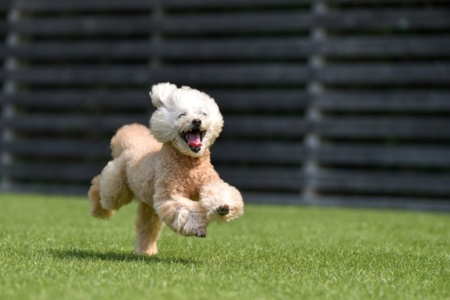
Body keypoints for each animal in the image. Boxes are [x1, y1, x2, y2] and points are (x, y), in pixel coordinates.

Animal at [87, 82, 243, 255]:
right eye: (182, 115)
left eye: (203, 113)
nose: (196, 121)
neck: (190, 164)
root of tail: (129, 143)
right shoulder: (170, 194)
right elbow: (185, 209)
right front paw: (198, 228)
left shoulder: (208, 181)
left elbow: (219, 191)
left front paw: (223, 207)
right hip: (117, 187)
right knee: (102, 189)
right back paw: (97, 208)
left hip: (148, 204)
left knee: (147, 227)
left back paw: (146, 251)